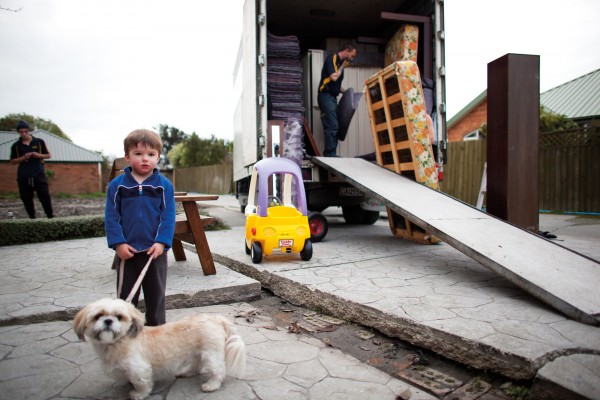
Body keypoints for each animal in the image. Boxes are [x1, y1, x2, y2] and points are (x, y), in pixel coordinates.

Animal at [73, 298, 246, 398]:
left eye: (119, 317)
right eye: (98, 316)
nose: (108, 321)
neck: (119, 342)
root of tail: (216, 318)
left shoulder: (139, 369)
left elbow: (141, 383)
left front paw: (137, 394)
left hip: (211, 353)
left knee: (218, 370)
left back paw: (212, 385)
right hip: (197, 351)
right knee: (197, 364)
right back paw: (187, 372)